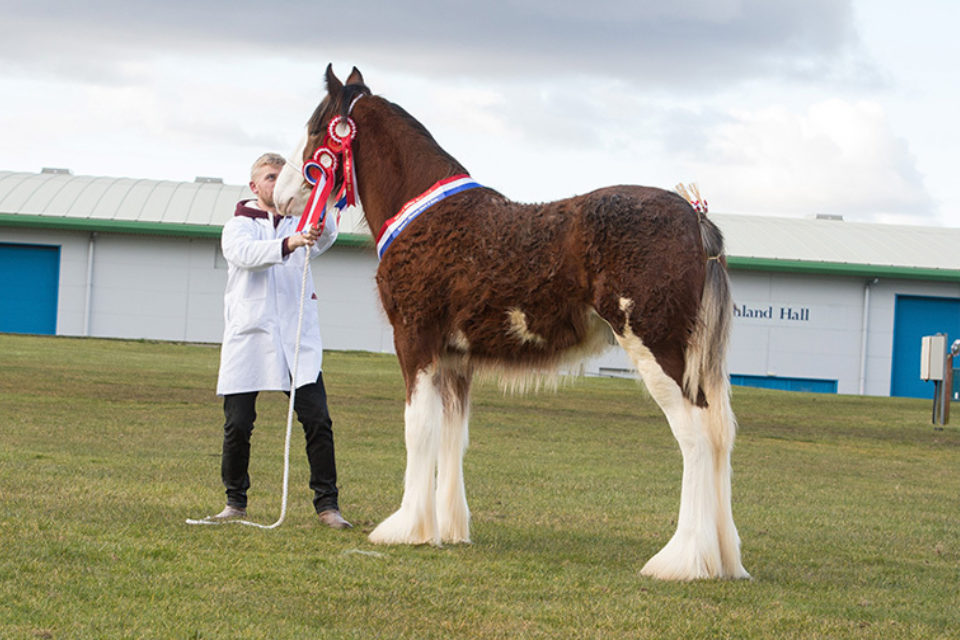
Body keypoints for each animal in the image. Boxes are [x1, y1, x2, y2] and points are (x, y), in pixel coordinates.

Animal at [273, 65, 749, 581]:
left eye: (316, 128)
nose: (280, 195)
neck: (427, 215)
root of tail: (694, 218)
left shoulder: (414, 340)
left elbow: (417, 428)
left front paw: (405, 527)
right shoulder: (454, 358)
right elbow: (451, 436)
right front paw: (447, 529)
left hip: (656, 349)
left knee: (695, 438)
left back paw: (682, 559)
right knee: (719, 436)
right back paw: (722, 560)